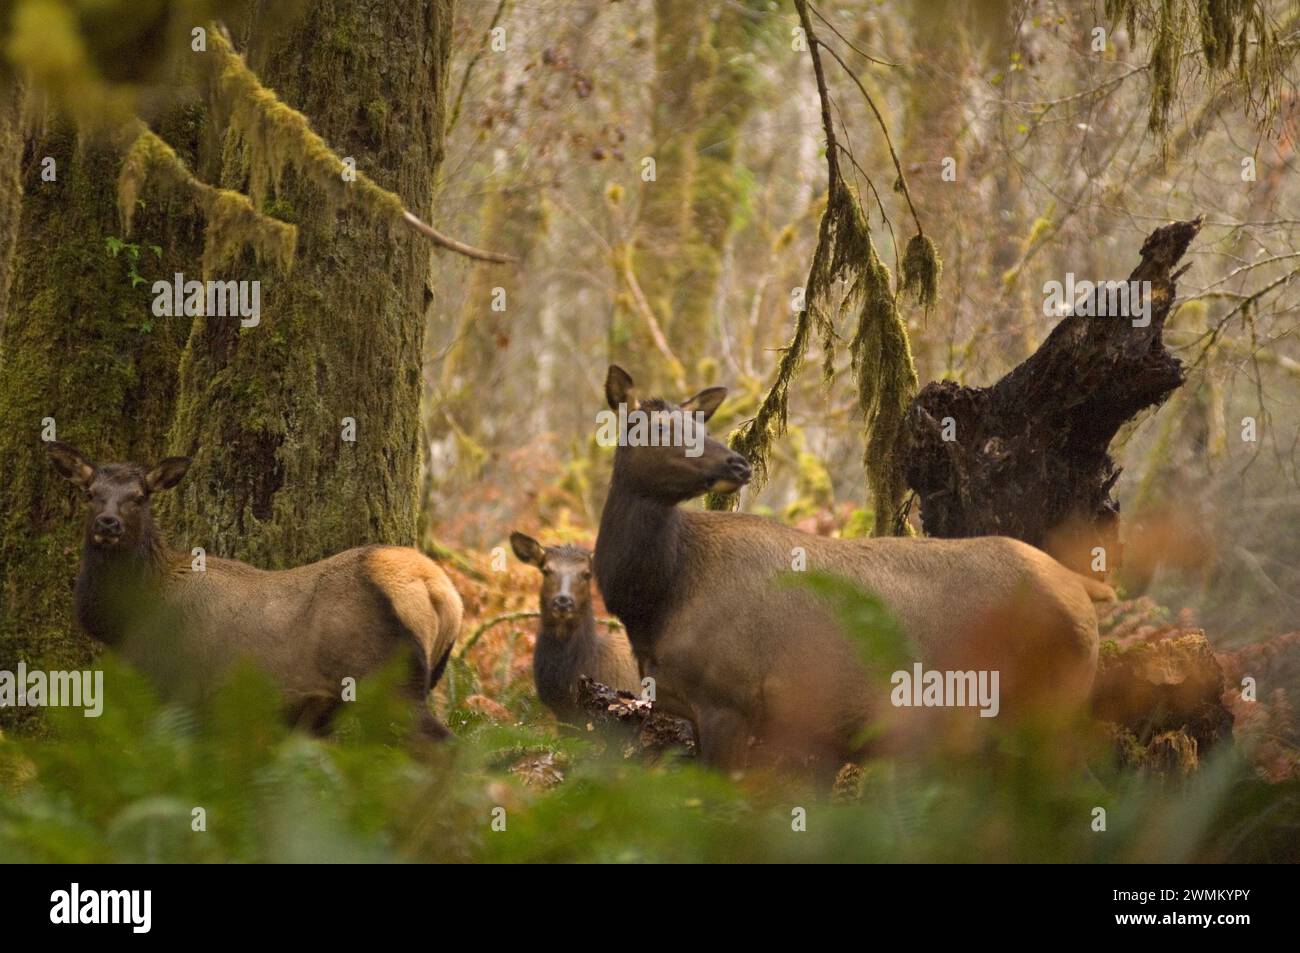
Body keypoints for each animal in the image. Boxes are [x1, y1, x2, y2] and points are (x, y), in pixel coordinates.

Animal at [46, 441, 462, 738]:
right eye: (90, 492)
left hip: (389, 682)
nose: (108, 523)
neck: (126, 617)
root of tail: (440, 590)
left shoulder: (175, 683)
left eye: (139, 496)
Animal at [593, 366, 1116, 769]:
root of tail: (1082, 586)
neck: (658, 600)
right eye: (656, 428)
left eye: (699, 425)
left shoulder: (729, 697)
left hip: (1051, 701)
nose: (737, 463)